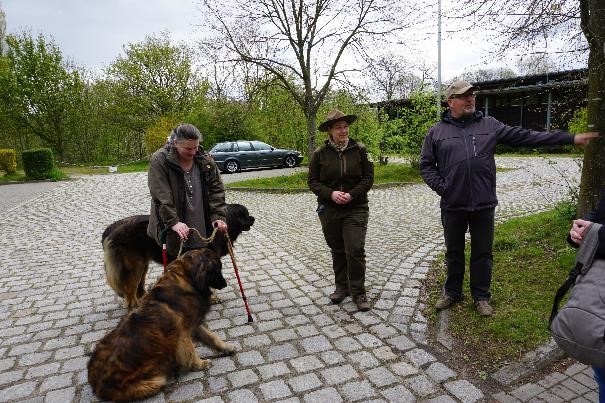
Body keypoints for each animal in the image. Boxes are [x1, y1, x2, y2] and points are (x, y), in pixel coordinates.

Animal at [87, 248, 236, 402]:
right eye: (218, 269)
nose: (224, 284)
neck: (186, 279)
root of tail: (95, 385)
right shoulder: (183, 333)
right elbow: (190, 351)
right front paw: (199, 364)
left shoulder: (193, 325)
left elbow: (211, 337)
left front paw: (226, 347)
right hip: (153, 382)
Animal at [101, 204, 252, 310]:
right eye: (244, 214)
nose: (253, 218)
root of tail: (111, 229)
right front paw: (211, 297)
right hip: (134, 266)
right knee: (130, 289)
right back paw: (135, 307)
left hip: (143, 265)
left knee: (138, 287)